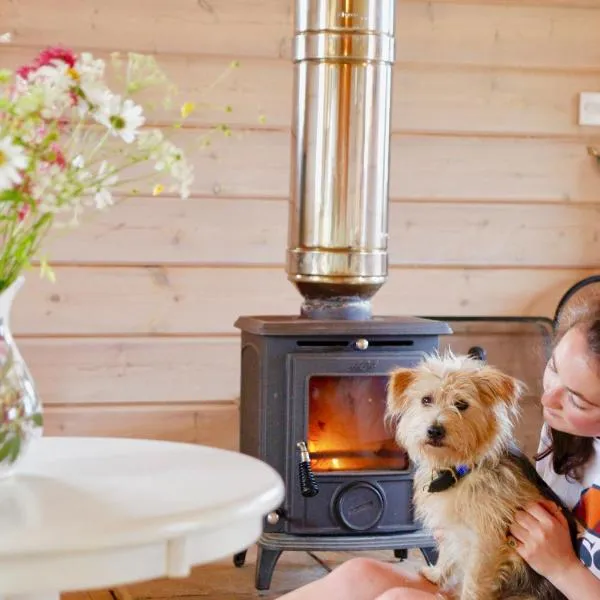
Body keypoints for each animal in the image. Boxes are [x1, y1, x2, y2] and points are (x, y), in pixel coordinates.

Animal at [386, 352, 580, 600]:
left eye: (461, 404)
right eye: (426, 400)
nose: (434, 430)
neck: (463, 471)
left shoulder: (488, 543)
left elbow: (474, 582)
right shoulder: (454, 529)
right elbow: (448, 552)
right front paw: (436, 575)